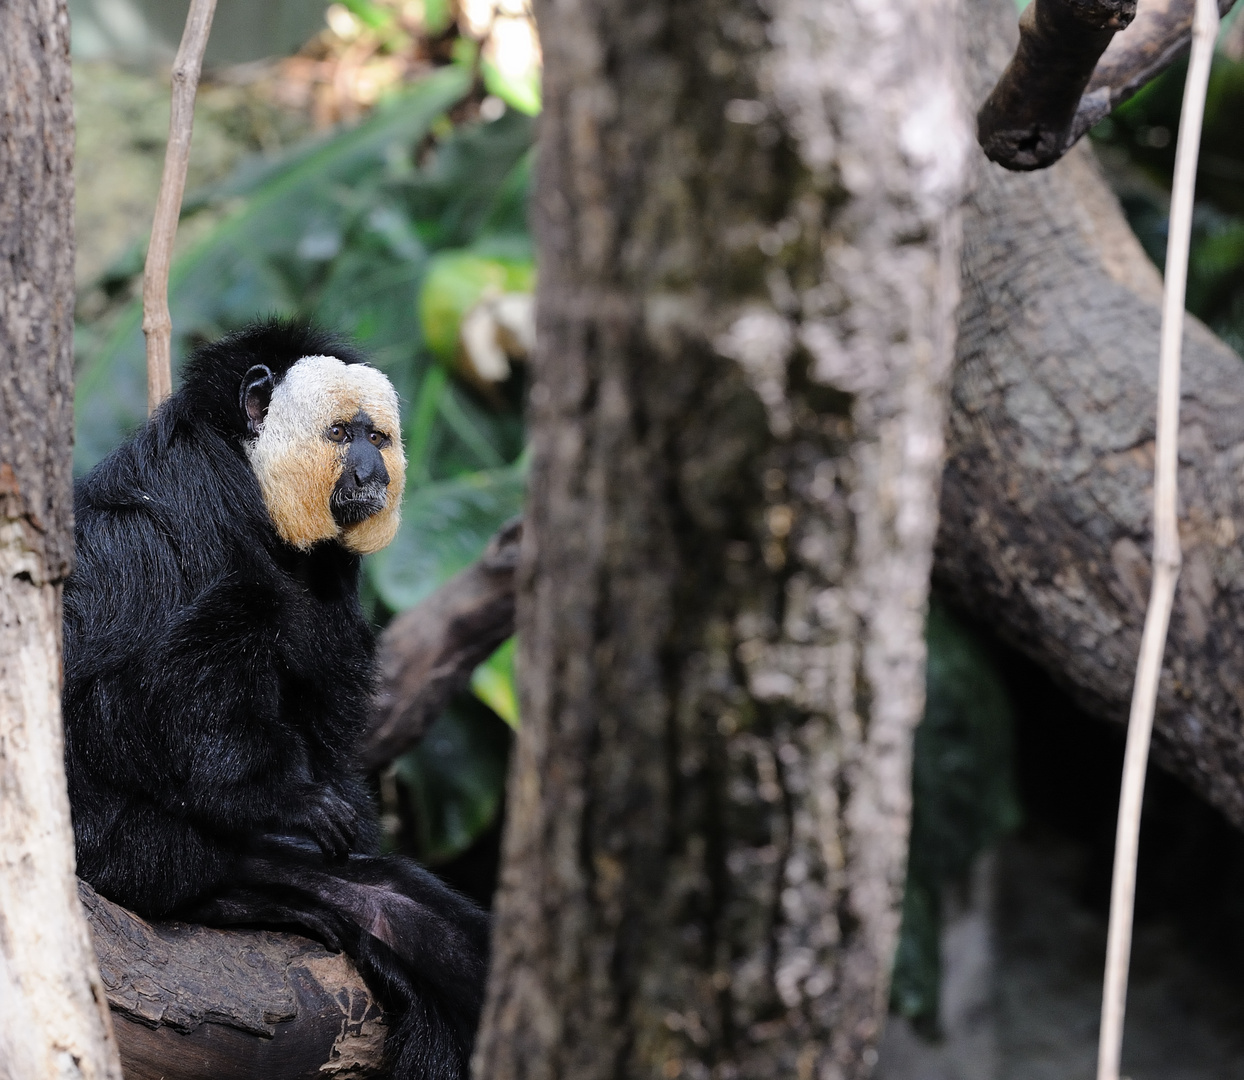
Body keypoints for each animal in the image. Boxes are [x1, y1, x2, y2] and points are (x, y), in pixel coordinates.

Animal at [63, 323, 487, 1080]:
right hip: (101, 832)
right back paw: (219, 896)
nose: (371, 473)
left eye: (376, 438)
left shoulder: (330, 575)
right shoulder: (192, 496)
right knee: (234, 620)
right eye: (341, 433)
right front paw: (285, 798)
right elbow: (131, 688)